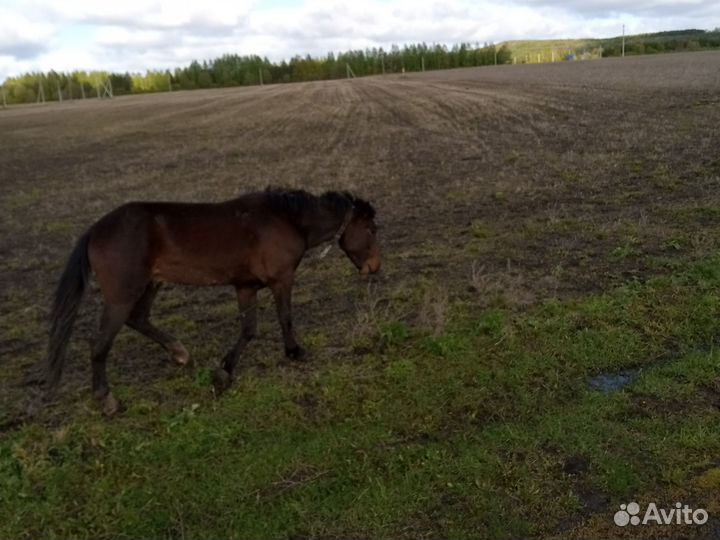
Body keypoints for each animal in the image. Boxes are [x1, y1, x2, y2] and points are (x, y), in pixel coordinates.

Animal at [47, 188, 381, 415]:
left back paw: (180, 354)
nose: (375, 266)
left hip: (151, 284)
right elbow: (284, 317)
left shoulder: (245, 286)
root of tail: (95, 230)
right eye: (370, 228)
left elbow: (249, 329)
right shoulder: (281, 280)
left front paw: (224, 372)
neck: (287, 220)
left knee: (138, 319)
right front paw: (294, 352)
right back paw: (107, 400)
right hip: (123, 294)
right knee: (100, 344)